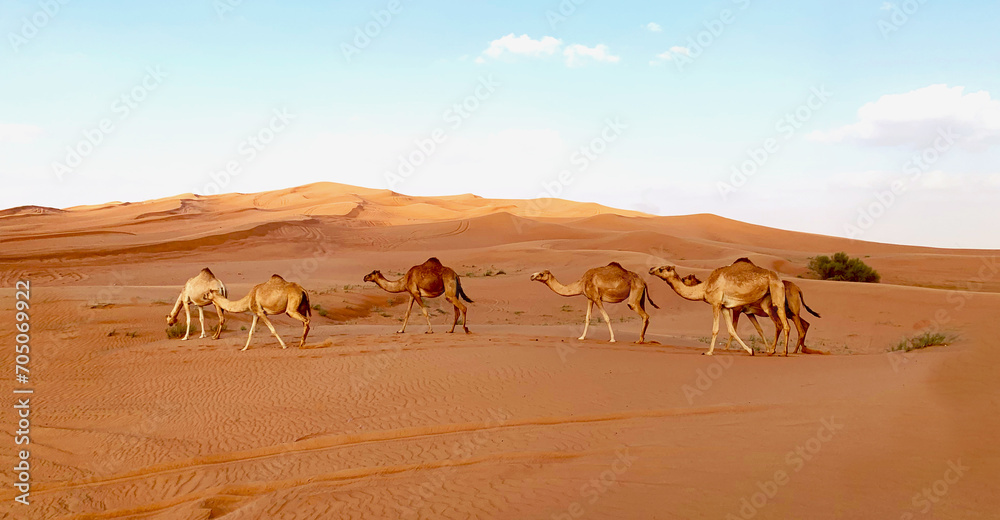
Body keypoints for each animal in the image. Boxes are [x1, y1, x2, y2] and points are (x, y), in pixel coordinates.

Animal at [530, 262, 659, 343]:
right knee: (645, 315)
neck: (581, 283)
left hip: (634, 294)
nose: (531, 276)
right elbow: (587, 317)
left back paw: (639, 340)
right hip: (641, 297)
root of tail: (643, 281)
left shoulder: (596, 298)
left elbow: (606, 317)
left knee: (643, 314)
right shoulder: (590, 298)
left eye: (541, 274)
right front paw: (581, 337)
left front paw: (612, 339)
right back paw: (642, 339)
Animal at [650, 260, 790, 356]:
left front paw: (708, 352)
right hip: (767, 300)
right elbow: (731, 330)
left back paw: (782, 352)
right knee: (779, 324)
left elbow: (715, 329)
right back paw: (772, 351)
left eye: (662, 269)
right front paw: (750, 350)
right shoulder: (724, 307)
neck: (704, 287)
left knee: (784, 324)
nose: (651, 269)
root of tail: (779, 279)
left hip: (776, 292)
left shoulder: (716, 303)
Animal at [680, 271, 824, 354]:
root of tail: (798, 289)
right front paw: (765, 348)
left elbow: (734, 328)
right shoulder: (749, 312)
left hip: (790, 311)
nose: (681, 279)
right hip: (792, 313)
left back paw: (790, 351)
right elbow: (759, 329)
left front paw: (726, 348)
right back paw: (796, 350)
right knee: (805, 324)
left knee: (796, 327)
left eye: (686, 278)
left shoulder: (738, 309)